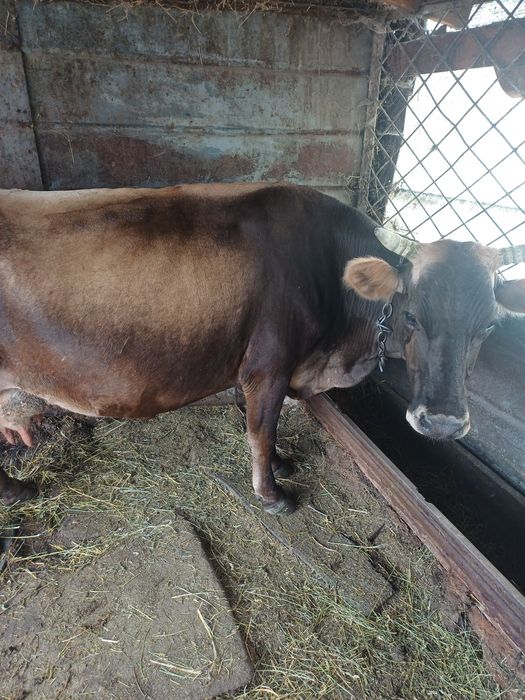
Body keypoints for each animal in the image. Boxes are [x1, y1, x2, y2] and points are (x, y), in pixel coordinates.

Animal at [0, 183, 524, 514]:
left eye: (489, 326)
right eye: (412, 314)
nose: (443, 422)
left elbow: (258, 426)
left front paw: (281, 465)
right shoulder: (269, 366)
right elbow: (262, 431)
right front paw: (272, 495)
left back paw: (17, 493)